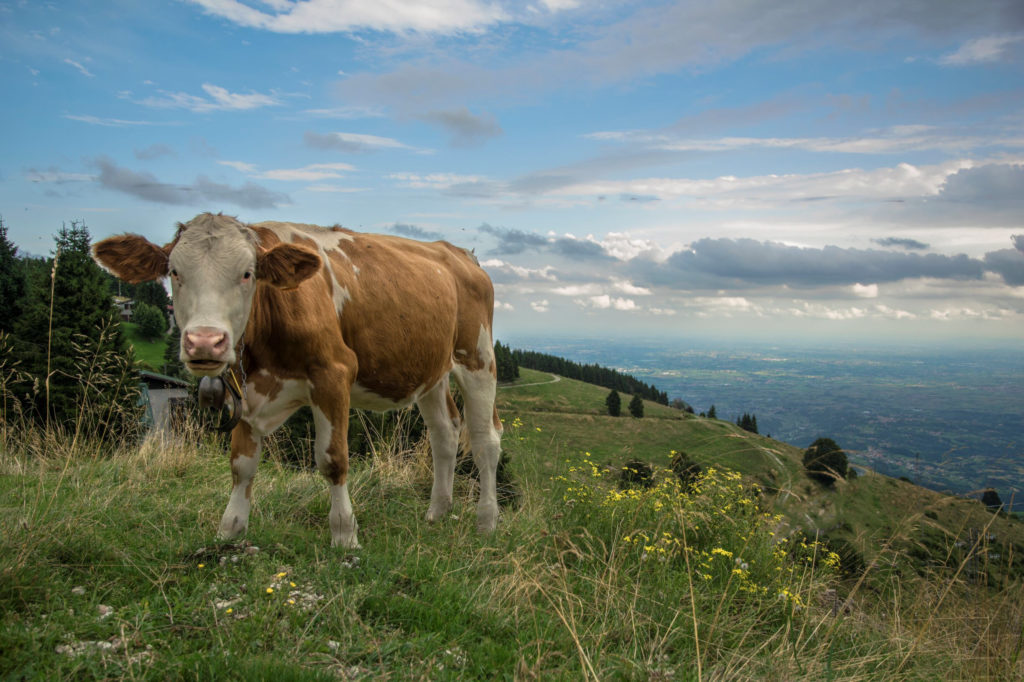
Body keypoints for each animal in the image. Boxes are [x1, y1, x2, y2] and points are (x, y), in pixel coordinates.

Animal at [94, 214, 501, 548]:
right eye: (175, 272)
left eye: (247, 273)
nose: (205, 342)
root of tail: (458, 253)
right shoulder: (244, 388)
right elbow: (241, 463)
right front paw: (230, 529)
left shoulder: (334, 373)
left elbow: (332, 459)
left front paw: (344, 534)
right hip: (431, 369)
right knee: (445, 433)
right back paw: (437, 513)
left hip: (477, 358)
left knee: (485, 440)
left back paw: (486, 521)